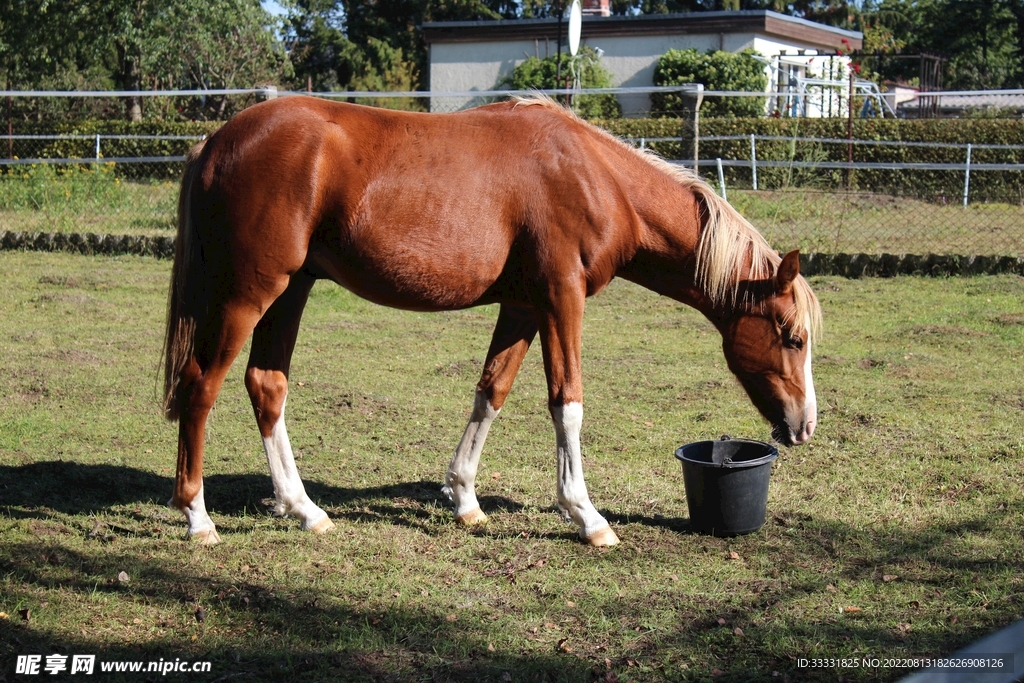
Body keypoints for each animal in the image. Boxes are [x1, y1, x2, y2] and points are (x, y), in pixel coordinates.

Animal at [162, 95, 821, 547]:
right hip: (249, 293)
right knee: (200, 387)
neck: (596, 177)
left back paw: (304, 510)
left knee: (266, 385)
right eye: (792, 338)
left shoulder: (524, 306)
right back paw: (197, 517)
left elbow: (491, 391)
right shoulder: (562, 299)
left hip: (290, 291)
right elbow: (567, 403)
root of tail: (216, 140)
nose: (805, 426)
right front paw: (587, 516)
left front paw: (464, 499)